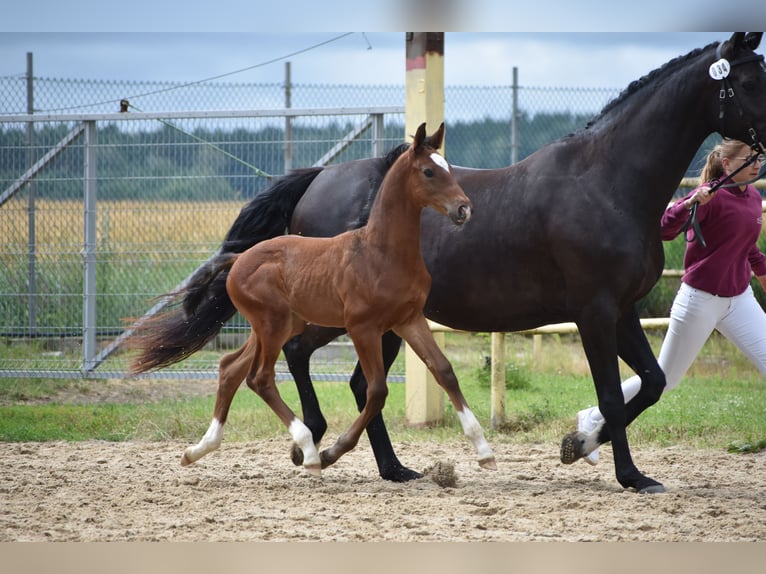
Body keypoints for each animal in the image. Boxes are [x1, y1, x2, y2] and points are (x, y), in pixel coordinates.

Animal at [133, 125, 498, 476]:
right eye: (428, 171)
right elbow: (376, 390)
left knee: (231, 368)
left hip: (274, 326)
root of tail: (238, 259)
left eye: (447, 167)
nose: (464, 209)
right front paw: (332, 452)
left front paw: (485, 452)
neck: (380, 251)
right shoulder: (363, 327)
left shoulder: (408, 320)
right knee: (260, 378)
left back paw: (199, 449)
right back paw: (308, 451)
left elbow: (444, 371)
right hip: (274, 325)